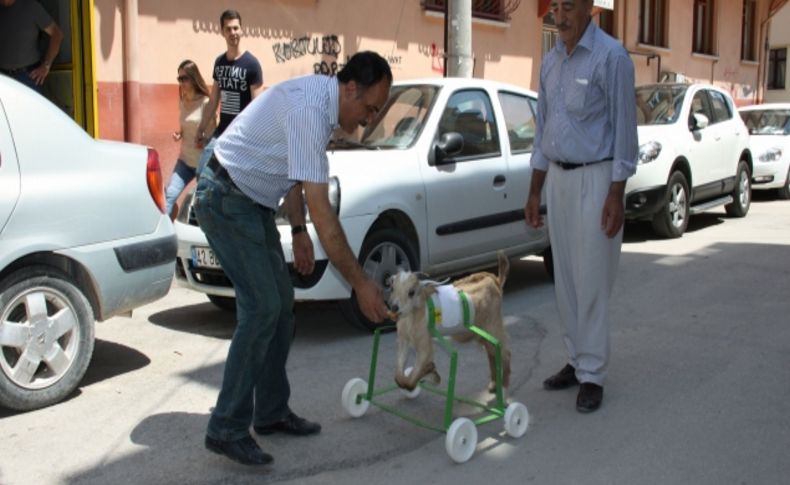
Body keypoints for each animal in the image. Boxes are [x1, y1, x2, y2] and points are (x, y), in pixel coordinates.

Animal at [340, 296, 532, 464]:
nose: (391, 308)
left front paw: (463, 439)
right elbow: (402, 376)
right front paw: (360, 396)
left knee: (498, 354)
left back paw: (511, 414)